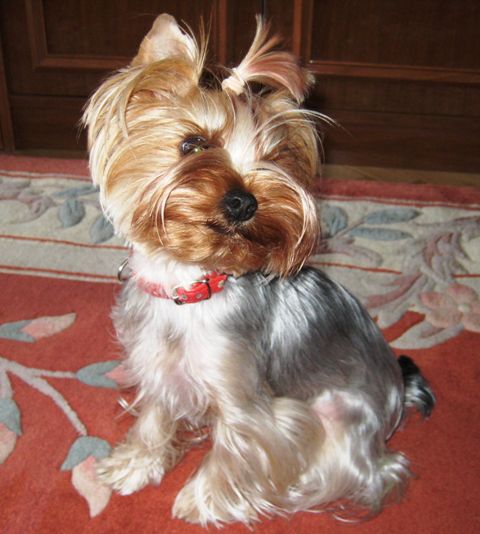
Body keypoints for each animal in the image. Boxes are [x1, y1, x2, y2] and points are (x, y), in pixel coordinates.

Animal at [83, 14, 435, 525]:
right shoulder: (156, 363)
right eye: (192, 144)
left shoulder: (243, 393)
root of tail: (396, 395)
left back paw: (295, 486)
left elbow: (237, 446)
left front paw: (202, 501)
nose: (244, 202)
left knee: (369, 471)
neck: (191, 285)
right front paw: (135, 465)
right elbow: (155, 416)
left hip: (338, 413)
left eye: (273, 159)